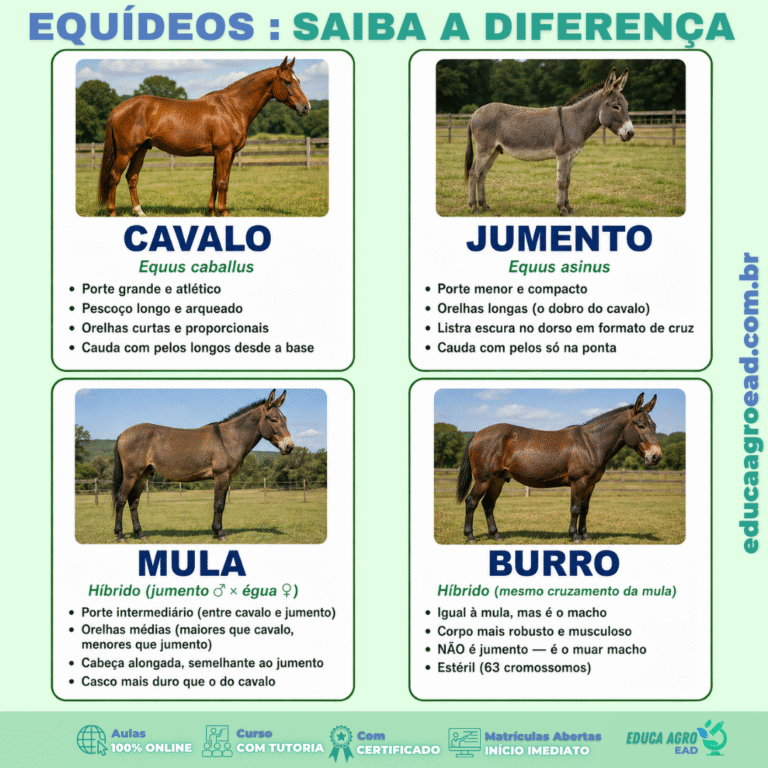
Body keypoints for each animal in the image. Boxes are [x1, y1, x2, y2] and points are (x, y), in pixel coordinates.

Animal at [97, 57, 310, 217]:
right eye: (288, 81)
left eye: (299, 80)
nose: (306, 107)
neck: (232, 108)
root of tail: (118, 108)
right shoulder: (224, 151)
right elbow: (222, 182)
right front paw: (224, 213)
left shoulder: (224, 154)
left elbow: (217, 181)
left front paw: (211, 212)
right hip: (126, 151)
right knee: (114, 176)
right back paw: (112, 212)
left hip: (141, 150)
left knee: (132, 177)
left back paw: (139, 211)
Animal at [111, 390, 294, 542]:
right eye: (273, 419)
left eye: (285, 419)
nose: (289, 447)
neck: (228, 439)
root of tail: (122, 434)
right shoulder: (221, 476)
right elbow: (218, 504)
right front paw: (220, 533)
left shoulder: (226, 478)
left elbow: (221, 504)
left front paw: (216, 530)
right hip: (131, 475)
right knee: (121, 499)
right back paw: (120, 535)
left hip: (143, 475)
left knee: (133, 502)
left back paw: (141, 534)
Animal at [455, 393, 661, 544]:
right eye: (640, 425)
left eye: (654, 425)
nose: (656, 456)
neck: (590, 443)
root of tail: (477, 435)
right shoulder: (578, 482)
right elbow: (575, 508)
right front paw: (575, 536)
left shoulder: (590, 484)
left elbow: (585, 509)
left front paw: (585, 535)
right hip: (484, 479)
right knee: (471, 502)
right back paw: (470, 536)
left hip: (497, 480)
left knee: (488, 504)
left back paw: (496, 534)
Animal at [464, 68, 634, 216]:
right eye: (615, 107)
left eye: (627, 106)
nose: (631, 133)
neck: (576, 121)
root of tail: (474, 114)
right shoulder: (563, 155)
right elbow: (561, 182)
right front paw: (562, 209)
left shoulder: (571, 157)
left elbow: (568, 181)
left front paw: (569, 207)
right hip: (484, 149)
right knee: (474, 173)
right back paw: (474, 207)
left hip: (494, 150)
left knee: (482, 174)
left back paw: (484, 205)